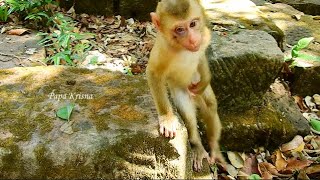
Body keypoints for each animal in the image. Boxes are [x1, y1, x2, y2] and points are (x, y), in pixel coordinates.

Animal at [147, 0, 225, 172]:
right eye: (180, 29)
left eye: (193, 24)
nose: (193, 39)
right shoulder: (163, 50)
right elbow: (154, 74)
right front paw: (167, 118)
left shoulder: (204, 35)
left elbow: (201, 56)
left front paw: (205, 79)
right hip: (179, 89)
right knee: (187, 110)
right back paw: (198, 147)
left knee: (210, 104)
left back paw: (214, 147)